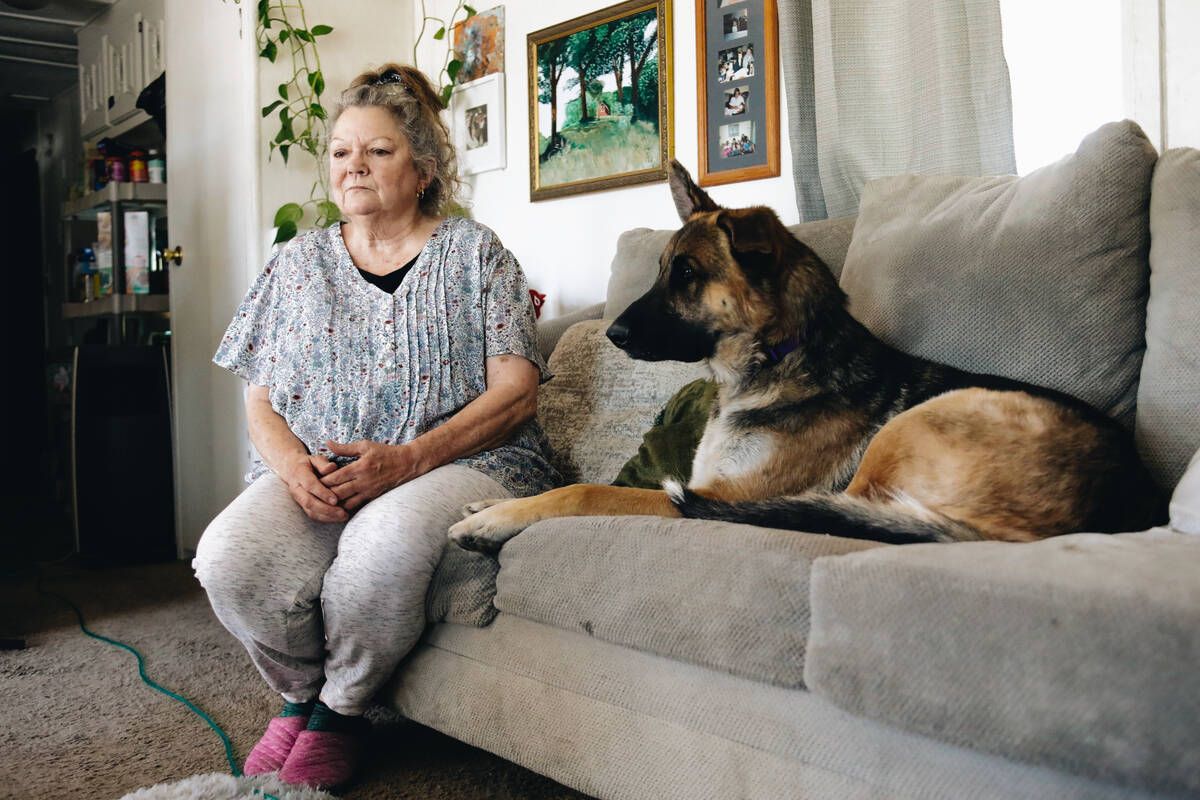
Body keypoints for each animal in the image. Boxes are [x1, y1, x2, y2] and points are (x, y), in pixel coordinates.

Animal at [448, 159, 1161, 554]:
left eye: (687, 275)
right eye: (659, 270)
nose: (613, 333)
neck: (775, 362)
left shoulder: (722, 492)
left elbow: (583, 491)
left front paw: (501, 517)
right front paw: (488, 508)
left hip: (911, 432)